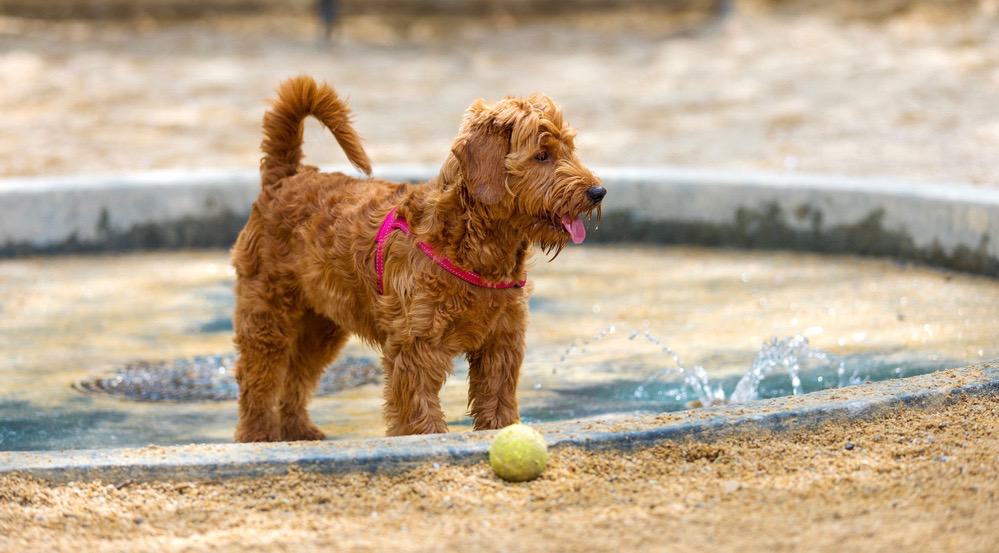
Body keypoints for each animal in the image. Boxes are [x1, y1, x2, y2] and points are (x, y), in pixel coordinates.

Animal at [233, 76, 604, 440]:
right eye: (542, 155)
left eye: (569, 149)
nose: (598, 192)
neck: (476, 247)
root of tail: (285, 177)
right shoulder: (417, 344)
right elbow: (418, 410)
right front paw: (426, 438)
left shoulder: (501, 342)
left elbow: (498, 401)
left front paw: (502, 429)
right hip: (267, 314)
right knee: (258, 381)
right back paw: (258, 437)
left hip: (320, 324)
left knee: (296, 376)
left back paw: (300, 431)